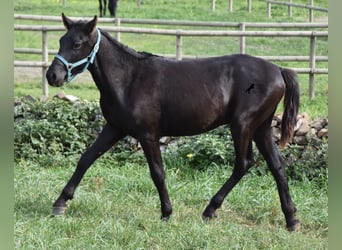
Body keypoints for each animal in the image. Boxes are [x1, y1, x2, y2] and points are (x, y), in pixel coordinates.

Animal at [45, 13, 300, 231]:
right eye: (61, 40)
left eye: (77, 44)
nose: (52, 76)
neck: (129, 79)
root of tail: (278, 70)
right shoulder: (114, 128)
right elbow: (86, 158)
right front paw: (60, 203)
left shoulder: (148, 135)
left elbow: (158, 173)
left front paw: (166, 212)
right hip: (261, 128)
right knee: (277, 165)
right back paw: (291, 219)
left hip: (242, 125)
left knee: (243, 164)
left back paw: (211, 209)